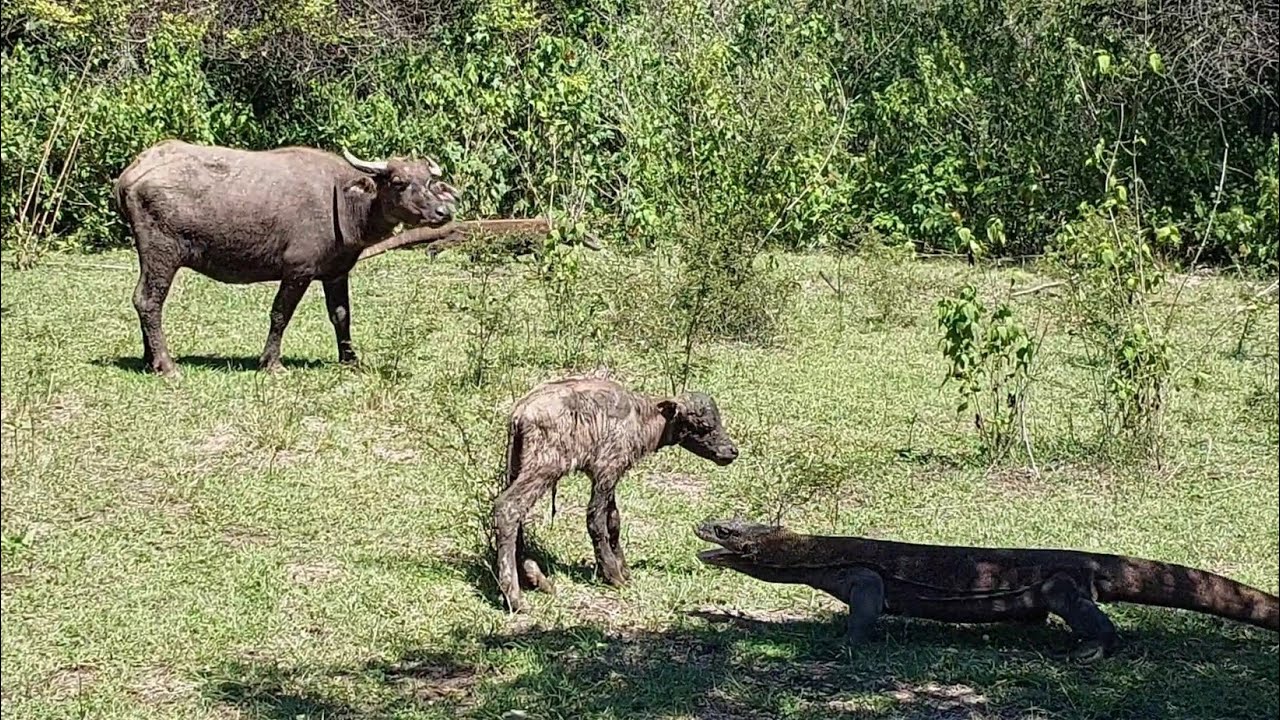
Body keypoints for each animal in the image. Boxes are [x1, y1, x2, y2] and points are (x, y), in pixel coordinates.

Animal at [113, 139, 459, 376]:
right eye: (399, 183)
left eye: (429, 182)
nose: (443, 212)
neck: (343, 200)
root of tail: (132, 172)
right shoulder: (298, 271)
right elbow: (280, 314)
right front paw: (271, 362)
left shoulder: (337, 272)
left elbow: (341, 315)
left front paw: (350, 359)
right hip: (162, 252)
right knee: (149, 300)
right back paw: (166, 363)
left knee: (145, 300)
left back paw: (150, 359)